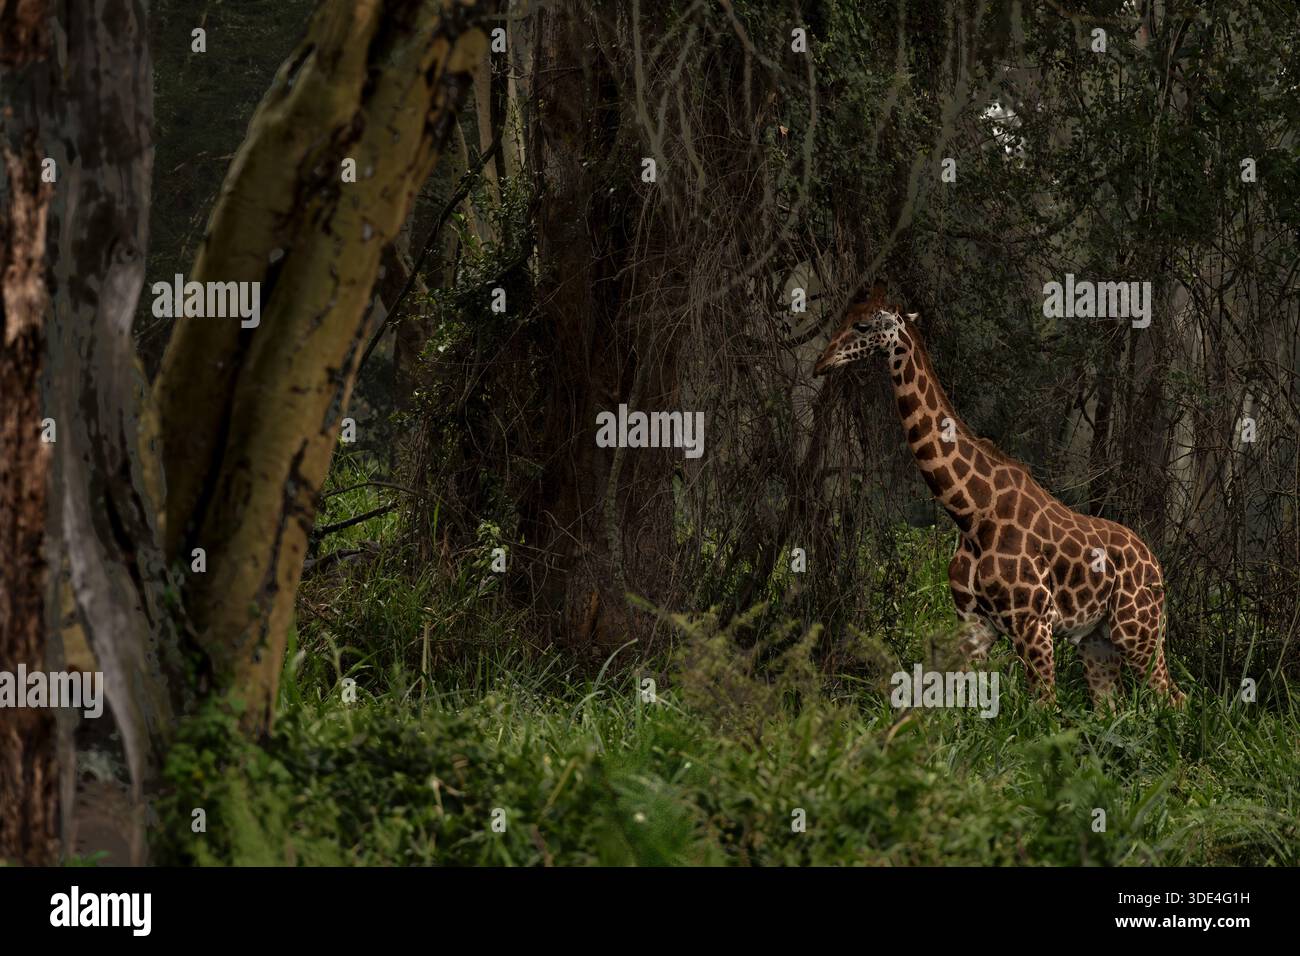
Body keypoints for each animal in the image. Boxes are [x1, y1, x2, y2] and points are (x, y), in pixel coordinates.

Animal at [813, 290, 1184, 708]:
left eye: (862, 326)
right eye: (844, 318)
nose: (821, 363)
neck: (970, 512)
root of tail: (1157, 566)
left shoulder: (1032, 624)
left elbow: (1044, 709)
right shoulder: (973, 625)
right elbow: (964, 710)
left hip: (1138, 630)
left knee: (1175, 698)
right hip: (1097, 639)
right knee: (1111, 707)